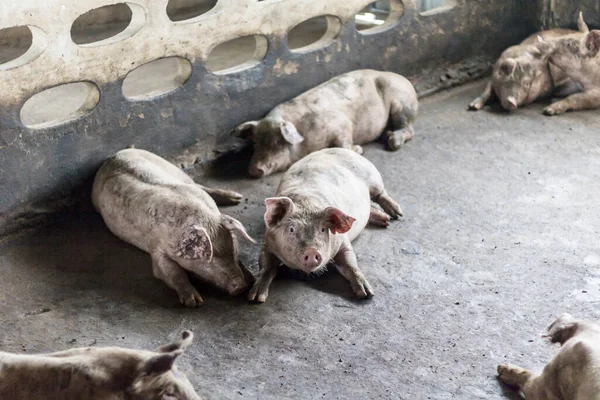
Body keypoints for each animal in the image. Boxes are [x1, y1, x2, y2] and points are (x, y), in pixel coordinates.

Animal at [92, 148, 256, 308]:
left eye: (234, 250)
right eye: (209, 259)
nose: (241, 286)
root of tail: (116, 154)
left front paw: (252, 279)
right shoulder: (156, 245)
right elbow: (169, 271)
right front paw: (194, 302)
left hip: (175, 170)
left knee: (198, 185)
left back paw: (236, 197)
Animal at [230, 69, 418, 177]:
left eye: (277, 142)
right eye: (255, 143)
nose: (254, 170)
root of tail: (406, 81)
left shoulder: (341, 124)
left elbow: (344, 143)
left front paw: (359, 150)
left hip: (402, 104)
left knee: (409, 129)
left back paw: (392, 141)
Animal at [248, 148, 404, 304]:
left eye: (323, 229)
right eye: (291, 229)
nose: (311, 250)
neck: (306, 203)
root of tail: (340, 149)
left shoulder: (343, 241)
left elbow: (351, 263)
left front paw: (367, 294)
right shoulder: (267, 243)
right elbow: (266, 268)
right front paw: (256, 298)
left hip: (374, 178)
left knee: (381, 193)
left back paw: (396, 215)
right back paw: (385, 219)